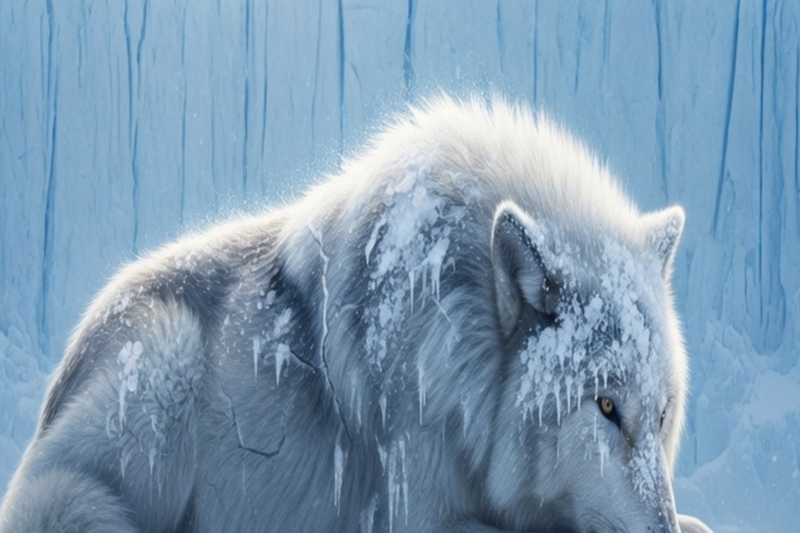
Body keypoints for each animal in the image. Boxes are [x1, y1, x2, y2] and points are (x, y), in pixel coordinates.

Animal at [0, 95, 714, 533]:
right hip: (160, 371)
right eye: (605, 407)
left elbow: (698, 523)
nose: (658, 529)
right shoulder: (418, 515)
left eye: (661, 415)